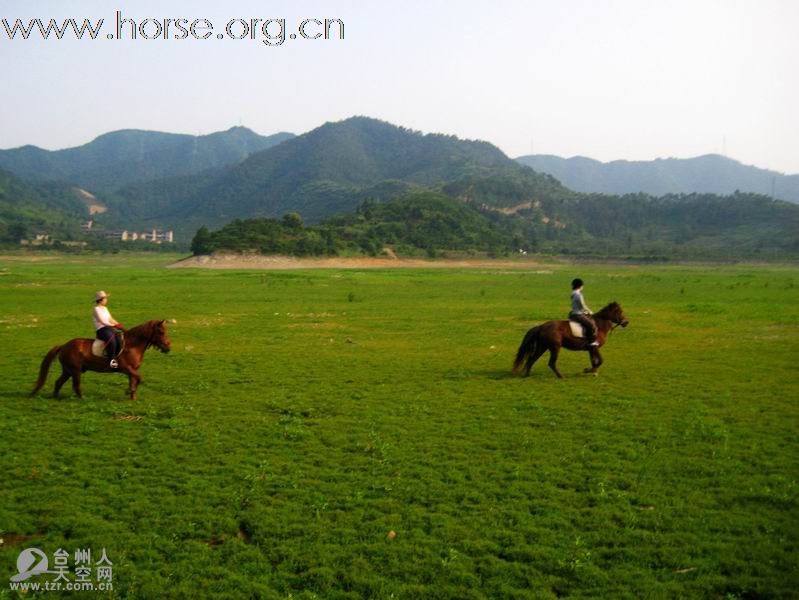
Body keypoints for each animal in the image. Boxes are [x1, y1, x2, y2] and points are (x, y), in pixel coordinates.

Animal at [30, 322, 172, 400]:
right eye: (161, 332)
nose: (168, 347)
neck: (132, 345)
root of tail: (64, 345)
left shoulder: (132, 370)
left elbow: (134, 380)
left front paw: (132, 396)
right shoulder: (127, 368)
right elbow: (139, 378)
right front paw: (129, 392)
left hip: (68, 370)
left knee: (58, 382)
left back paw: (55, 397)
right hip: (75, 370)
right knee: (76, 386)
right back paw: (83, 398)